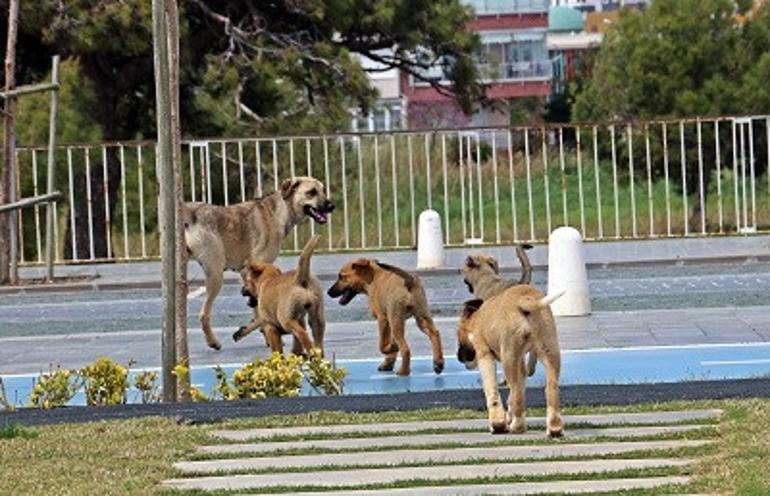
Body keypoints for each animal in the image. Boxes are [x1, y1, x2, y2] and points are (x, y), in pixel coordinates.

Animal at [185, 176, 332, 350]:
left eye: (323, 190)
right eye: (312, 192)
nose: (331, 206)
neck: (278, 211)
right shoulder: (254, 267)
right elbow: (258, 312)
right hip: (215, 273)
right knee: (203, 314)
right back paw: (213, 342)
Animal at [452, 284, 560, 436]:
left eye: (458, 333)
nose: (459, 357)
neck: (478, 319)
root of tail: (524, 300)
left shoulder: (484, 355)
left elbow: (492, 392)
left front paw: (498, 425)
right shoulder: (520, 364)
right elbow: (514, 393)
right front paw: (507, 418)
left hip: (509, 357)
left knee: (516, 393)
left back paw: (517, 427)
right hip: (549, 350)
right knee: (550, 388)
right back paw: (555, 428)